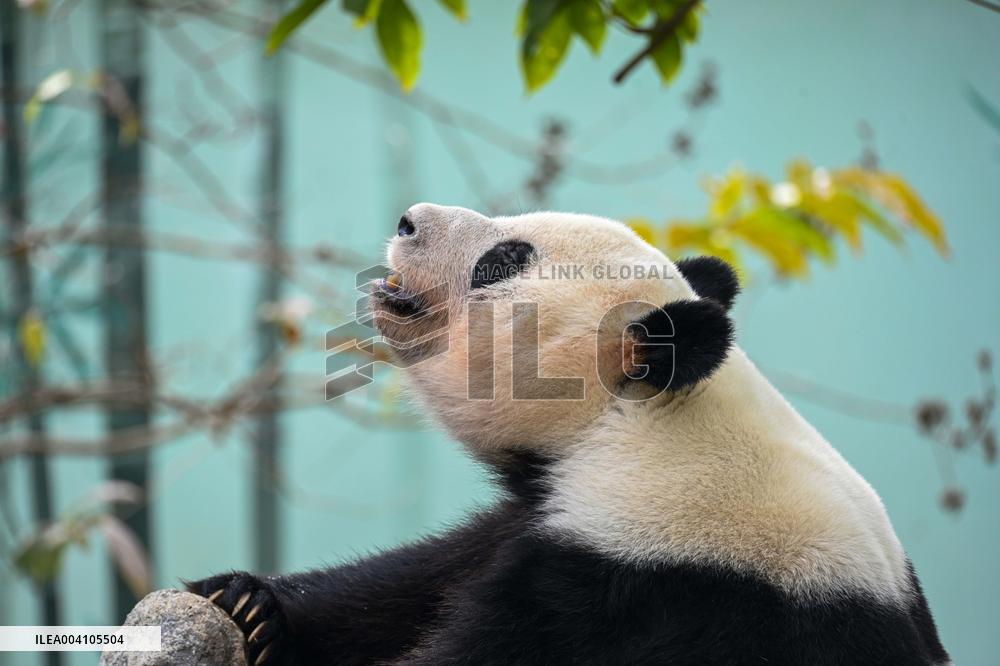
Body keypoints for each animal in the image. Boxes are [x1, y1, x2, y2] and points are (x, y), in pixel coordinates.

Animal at [189, 204, 950, 665]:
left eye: (502, 260)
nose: (408, 219)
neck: (642, 428)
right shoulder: (543, 515)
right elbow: (403, 586)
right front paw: (246, 605)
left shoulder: (645, 585)